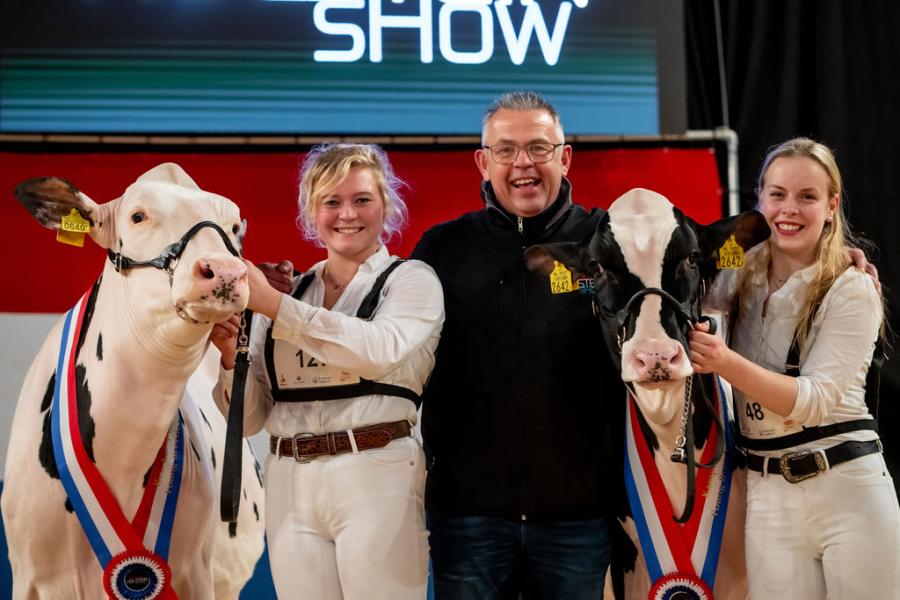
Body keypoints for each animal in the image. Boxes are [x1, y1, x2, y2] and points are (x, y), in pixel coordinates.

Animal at [2, 162, 264, 596]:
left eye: (234, 226)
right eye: (137, 216)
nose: (226, 271)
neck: (122, 459)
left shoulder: (195, 573)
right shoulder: (28, 577)